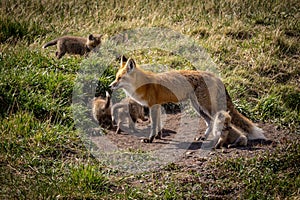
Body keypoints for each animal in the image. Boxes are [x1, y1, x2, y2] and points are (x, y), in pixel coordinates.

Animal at [110, 56, 264, 143]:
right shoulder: (158, 106)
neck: (143, 85)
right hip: (198, 107)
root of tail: (215, 76)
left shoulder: (153, 106)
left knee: (222, 119)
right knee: (210, 122)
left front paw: (150, 139)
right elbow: (158, 125)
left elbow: (153, 126)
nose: (110, 85)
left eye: (120, 78)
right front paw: (158, 137)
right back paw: (204, 138)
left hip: (206, 106)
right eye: (116, 77)